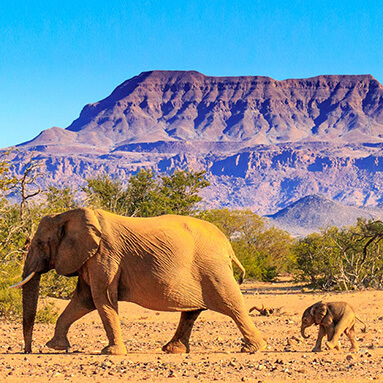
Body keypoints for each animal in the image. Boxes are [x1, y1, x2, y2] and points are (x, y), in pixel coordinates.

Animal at [12, 208, 268, 356]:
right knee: (192, 311)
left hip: (213, 269)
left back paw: (253, 349)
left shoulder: (105, 256)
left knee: (232, 305)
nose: (28, 351)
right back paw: (172, 350)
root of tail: (228, 244)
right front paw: (56, 346)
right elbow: (83, 300)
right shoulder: (91, 258)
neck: (69, 215)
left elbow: (102, 299)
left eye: (39, 243)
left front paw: (111, 353)